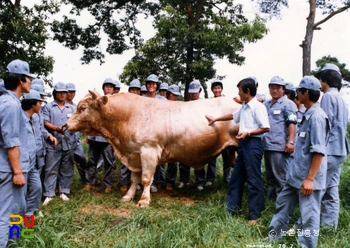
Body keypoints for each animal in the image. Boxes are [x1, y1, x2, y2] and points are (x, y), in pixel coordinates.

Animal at [65, 91, 241, 207]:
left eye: (82, 108)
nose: (66, 125)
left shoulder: (149, 151)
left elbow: (146, 178)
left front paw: (143, 200)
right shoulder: (135, 154)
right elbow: (134, 179)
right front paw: (128, 196)